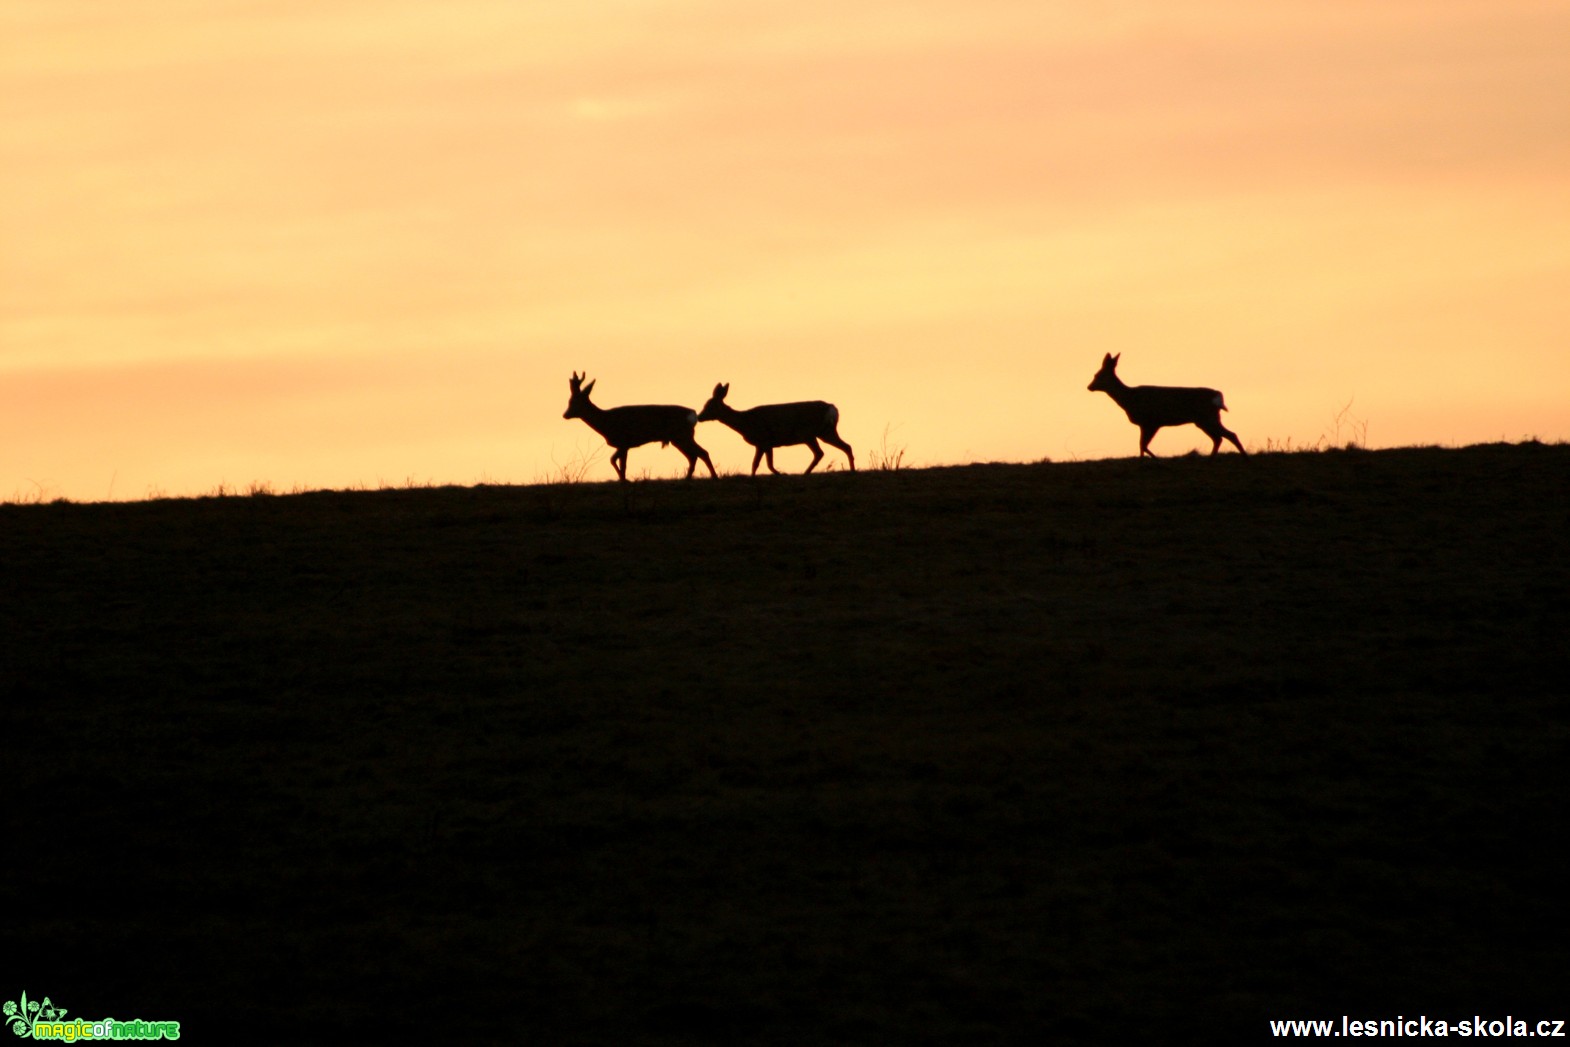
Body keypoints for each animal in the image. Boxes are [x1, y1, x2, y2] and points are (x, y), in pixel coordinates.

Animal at [558, 372, 719, 483]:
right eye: (569, 401)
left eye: (573, 401)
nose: (565, 414)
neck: (606, 422)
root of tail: (693, 414)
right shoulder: (623, 445)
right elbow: (613, 460)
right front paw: (624, 480)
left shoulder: (624, 442)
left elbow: (621, 464)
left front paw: (624, 480)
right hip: (679, 438)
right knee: (694, 455)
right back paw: (688, 478)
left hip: (681, 435)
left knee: (701, 453)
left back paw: (714, 477)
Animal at [697, 381, 854, 474]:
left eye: (709, 406)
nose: (699, 417)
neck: (745, 422)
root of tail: (832, 409)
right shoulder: (765, 444)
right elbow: (760, 464)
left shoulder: (764, 440)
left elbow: (763, 464)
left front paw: (781, 474)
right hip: (826, 432)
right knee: (846, 446)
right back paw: (852, 470)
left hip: (808, 433)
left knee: (819, 453)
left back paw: (805, 473)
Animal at [1086, 354, 1243, 455]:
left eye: (1097, 375)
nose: (1089, 387)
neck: (1129, 399)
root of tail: (1217, 395)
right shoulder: (1148, 424)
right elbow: (1142, 446)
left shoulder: (1151, 422)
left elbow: (1143, 446)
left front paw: (1153, 460)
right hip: (1204, 420)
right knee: (1219, 438)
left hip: (1207, 417)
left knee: (1229, 435)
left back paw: (1244, 458)